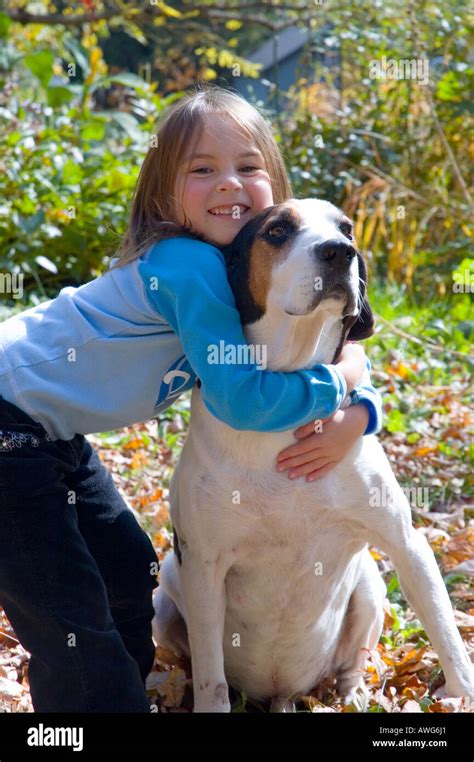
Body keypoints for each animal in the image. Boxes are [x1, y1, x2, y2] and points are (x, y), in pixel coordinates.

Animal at [153, 199, 474, 708]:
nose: (339, 252)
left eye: (347, 229)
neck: (285, 389)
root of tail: (282, 692)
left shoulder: (407, 546)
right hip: (165, 591)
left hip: (370, 585)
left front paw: (461, 694)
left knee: (352, 664)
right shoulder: (202, 568)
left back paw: (353, 694)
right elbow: (209, 676)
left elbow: (445, 632)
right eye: (277, 230)